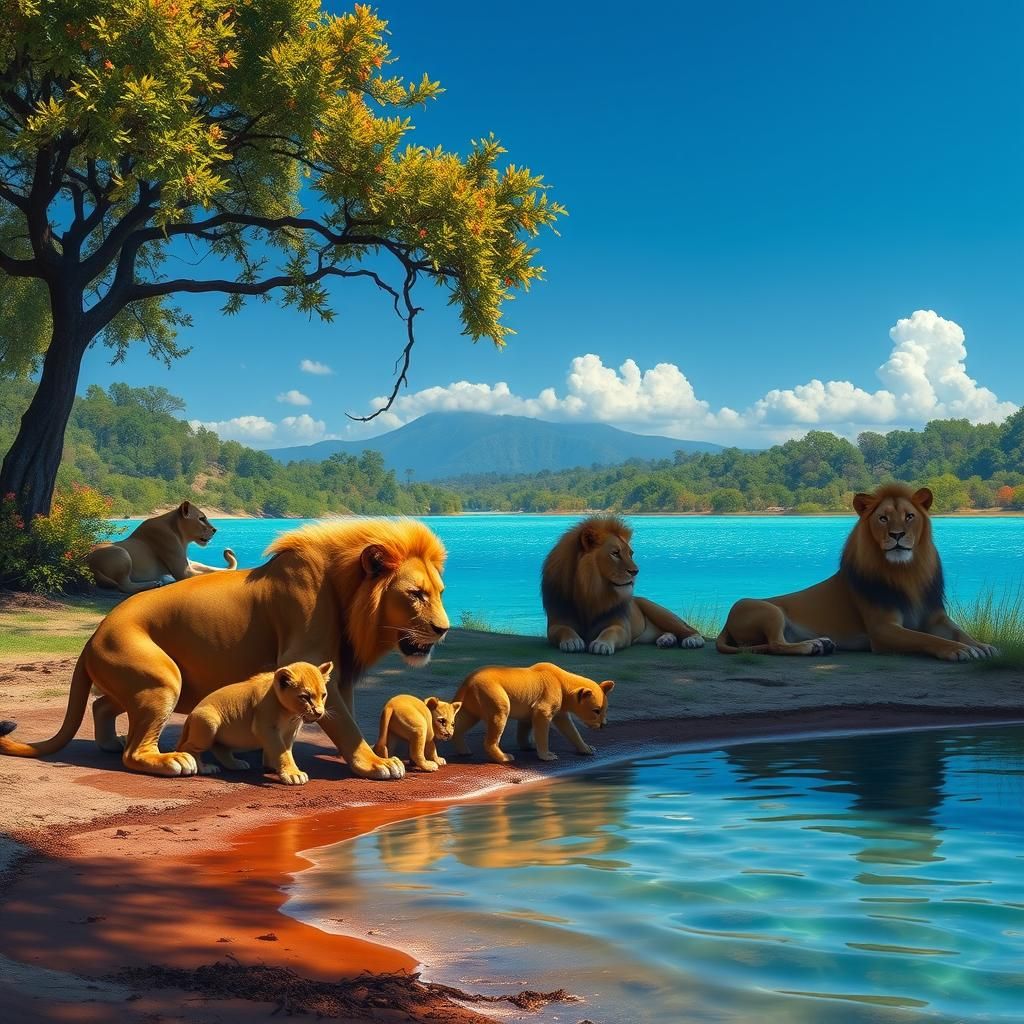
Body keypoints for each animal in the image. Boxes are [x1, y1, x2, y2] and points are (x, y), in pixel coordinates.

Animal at [87, 501, 237, 594]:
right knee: (124, 585)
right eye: (201, 518)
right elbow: (212, 573)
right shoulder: (183, 572)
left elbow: (211, 568)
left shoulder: (188, 563)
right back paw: (154, 584)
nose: (215, 530)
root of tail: (87, 561)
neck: (180, 533)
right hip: (121, 552)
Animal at [176, 661, 331, 785]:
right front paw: (293, 774)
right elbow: (282, 752)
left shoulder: (290, 731)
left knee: (220, 748)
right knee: (188, 747)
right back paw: (204, 768)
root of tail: (190, 715)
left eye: (323, 695)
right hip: (208, 721)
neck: (291, 715)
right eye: (305, 697)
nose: (319, 712)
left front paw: (276, 767)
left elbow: (285, 749)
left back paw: (236, 764)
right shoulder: (266, 728)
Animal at [452, 662, 614, 764]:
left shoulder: (556, 705)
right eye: (596, 710)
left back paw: (464, 750)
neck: (562, 681)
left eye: (605, 709)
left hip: (473, 700)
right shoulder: (549, 694)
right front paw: (548, 755)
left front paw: (588, 748)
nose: (603, 725)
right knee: (499, 715)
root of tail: (467, 681)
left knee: (466, 719)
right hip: (492, 692)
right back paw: (504, 757)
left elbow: (567, 727)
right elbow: (542, 719)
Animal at [541, 515, 704, 655]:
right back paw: (666, 640)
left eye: (630, 554)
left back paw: (692, 640)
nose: (635, 571)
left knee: (686, 629)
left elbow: (610, 631)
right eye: (615, 553)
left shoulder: (622, 628)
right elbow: (563, 629)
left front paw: (601, 644)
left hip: (658, 611)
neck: (591, 592)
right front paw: (572, 641)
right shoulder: (555, 622)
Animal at [716, 483, 998, 661]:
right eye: (883, 518)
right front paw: (958, 651)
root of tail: (726, 623)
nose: (897, 535)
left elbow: (959, 632)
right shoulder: (881, 630)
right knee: (775, 644)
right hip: (764, 609)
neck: (907, 573)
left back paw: (823, 644)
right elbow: (927, 639)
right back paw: (812, 646)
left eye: (909, 516)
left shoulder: (935, 616)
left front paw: (982, 646)